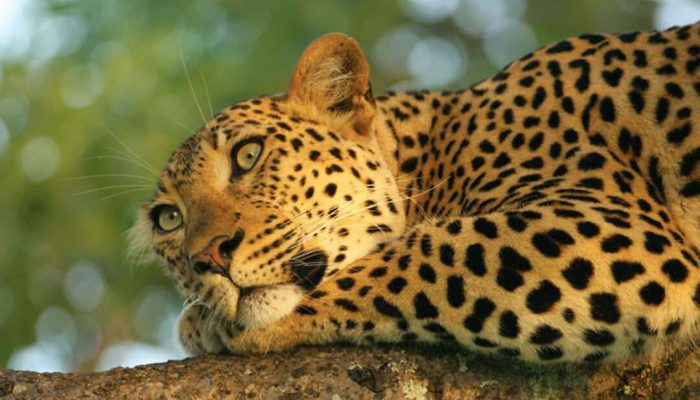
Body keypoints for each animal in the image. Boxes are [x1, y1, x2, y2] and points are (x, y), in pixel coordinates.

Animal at [130, 23, 700, 363]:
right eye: (169, 220)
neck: (432, 149)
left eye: (248, 155)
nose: (208, 257)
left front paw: (213, 323)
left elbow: (424, 254)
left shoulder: (608, 223)